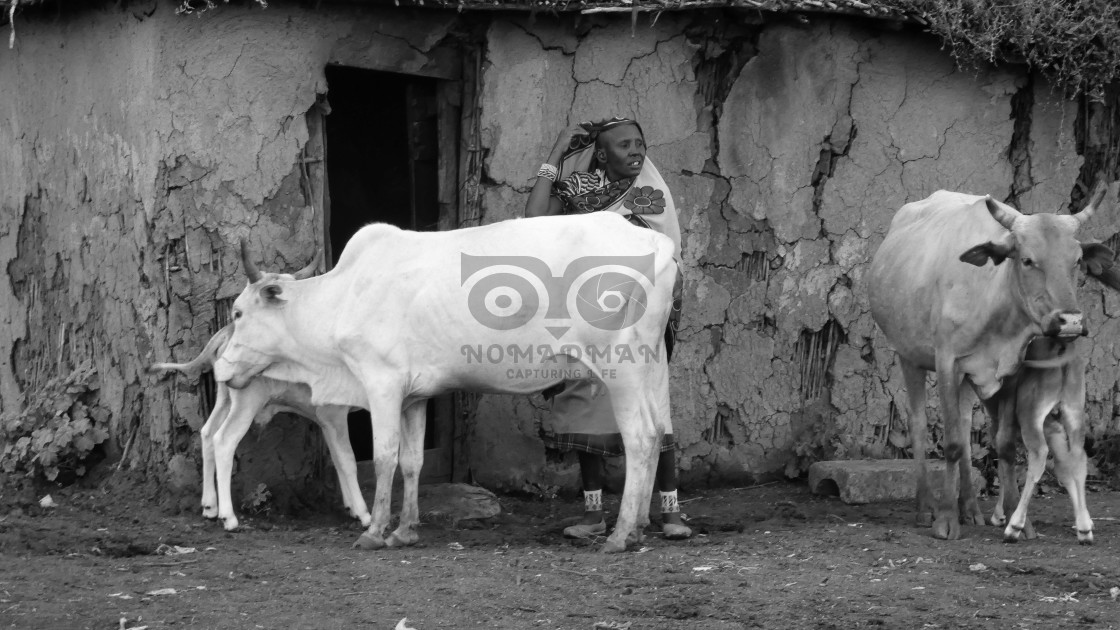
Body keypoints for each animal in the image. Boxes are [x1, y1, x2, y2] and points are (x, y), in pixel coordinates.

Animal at [148, 256, 371, 531]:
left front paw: (351, 507)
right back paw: (228, 517)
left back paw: (210, 506)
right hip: (246, 402)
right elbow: (349, 461)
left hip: (226, 398)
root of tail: (226, 331)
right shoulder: (334, 413)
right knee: (223, 440)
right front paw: (363, 514)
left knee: (208, 432)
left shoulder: (326, 419)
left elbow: (340, 460)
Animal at [213, 212, 677, 553]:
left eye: (238, 312)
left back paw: (620, 535)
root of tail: (660, 244)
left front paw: (374, 531)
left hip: (620, 369)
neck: (343, 297)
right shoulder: (414, 397)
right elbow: (412, 462)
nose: (219, 369)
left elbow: (384, 458)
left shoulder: (381, 382)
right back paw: (638, 525)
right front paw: (405, 530)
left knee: (639, 438)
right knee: (658, 432)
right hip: (652, 364)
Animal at [867, 183, 1113, 540]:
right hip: (908, 356)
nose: (1070, 322)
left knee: (965, 423)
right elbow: (952, 443)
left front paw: (1014, 517)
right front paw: (945, 520)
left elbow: (1005, 444)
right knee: (919, 424)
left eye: (1077, 260)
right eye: (1027, 259)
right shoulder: (946, 362)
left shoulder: (1011, 370)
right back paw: (926, 507)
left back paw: (970, 507)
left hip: (969, 380)